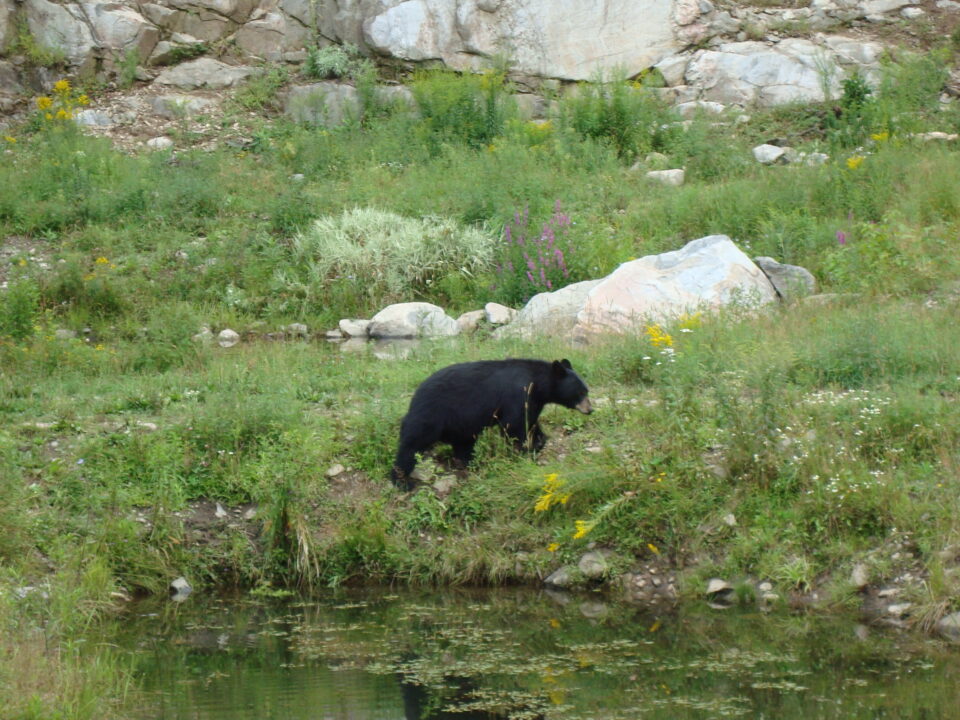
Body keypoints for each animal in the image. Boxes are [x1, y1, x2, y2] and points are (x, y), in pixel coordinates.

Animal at [390, 358, 592, 492]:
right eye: (581, 392)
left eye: (586, 390)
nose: (590, 409)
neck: (538, 383)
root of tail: (416, 395)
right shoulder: (517, 394)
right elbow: (514, 424)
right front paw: (523, 450)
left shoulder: (533, 400)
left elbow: (530, 422)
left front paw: (537, 444)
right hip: (432, 415)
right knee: (412, 444)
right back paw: (401, 480)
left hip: (460, 424)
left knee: (463, 443)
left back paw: (470, 463)